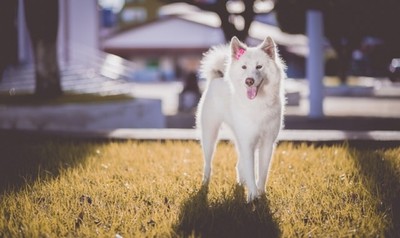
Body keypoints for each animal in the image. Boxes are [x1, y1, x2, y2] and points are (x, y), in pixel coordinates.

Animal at [196, 36, 284, 202]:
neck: (257, 104)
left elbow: (262, 173)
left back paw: (241, 183)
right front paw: (253, 196)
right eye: (244, 67)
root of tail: (218, 77)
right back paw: (204, 184)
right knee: (207, 163)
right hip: (210, 135)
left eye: (259, 66)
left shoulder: (267, 144)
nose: (249, 81)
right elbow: (251, 171)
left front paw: (260, 194)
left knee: (239, 164)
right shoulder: (247, 142)